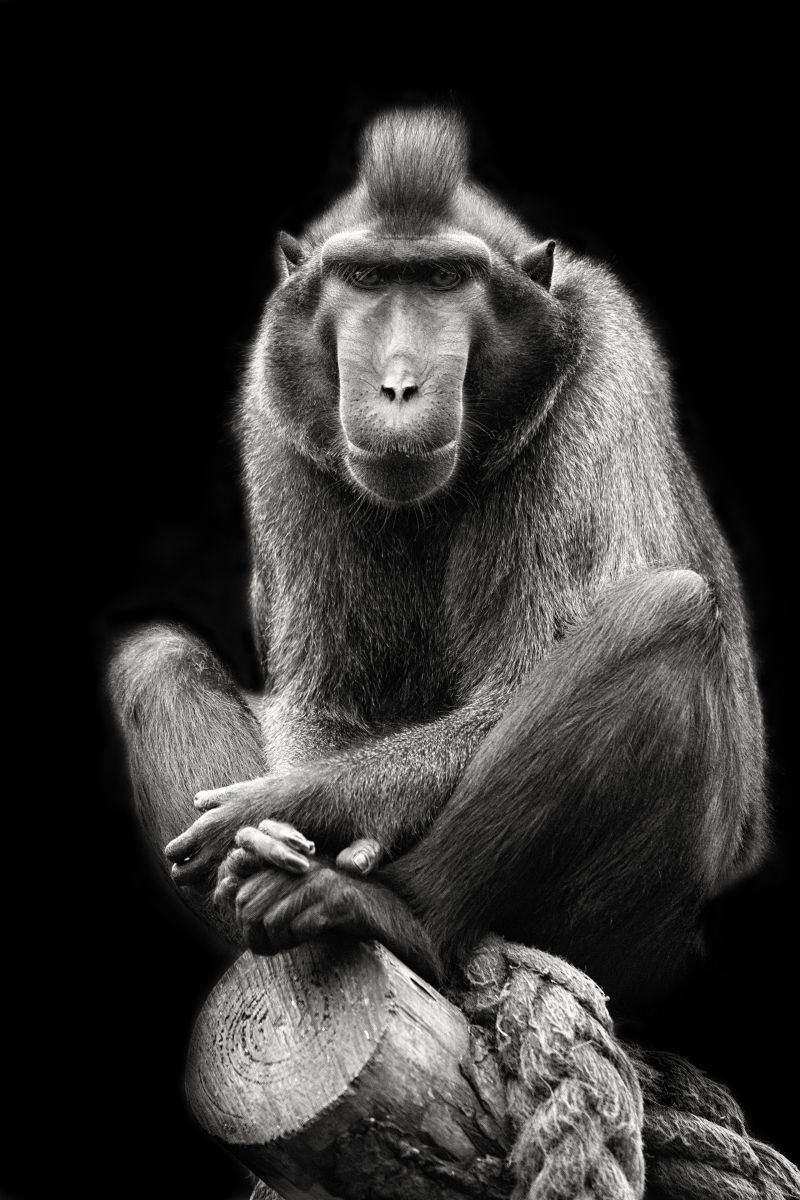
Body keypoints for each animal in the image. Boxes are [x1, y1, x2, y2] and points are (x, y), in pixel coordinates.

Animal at [109, 107, 768, 1013]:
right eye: (365, 278)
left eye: (445, 279)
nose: (396, 386)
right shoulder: (275, 409)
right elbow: (326, 706)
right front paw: (281, 824)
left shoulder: (603, 364)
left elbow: (511, 685)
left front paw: (297, 804)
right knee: (155, 658)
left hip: (642, 935)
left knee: (667, 615)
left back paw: (397, 911)